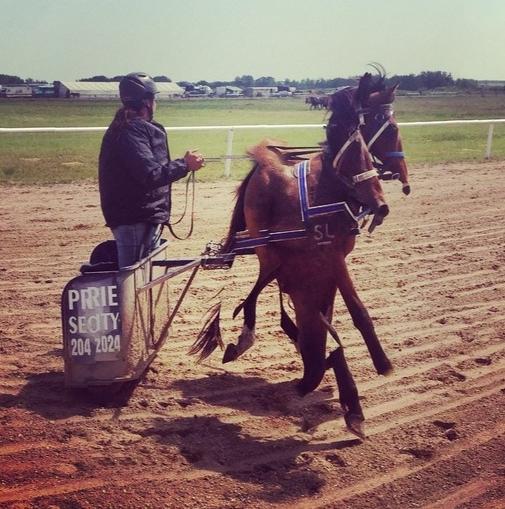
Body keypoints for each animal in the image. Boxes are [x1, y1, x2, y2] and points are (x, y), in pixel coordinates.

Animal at [191, 70, 408, 436]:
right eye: (389, 128)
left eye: (366, 143)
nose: (402, 181)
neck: (329, 191)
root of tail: (263, 163)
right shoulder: (326, 256)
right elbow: (353, 312)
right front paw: (374, 365)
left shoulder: (334, 257)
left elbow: (333, 314)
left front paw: (341, 384)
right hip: (266, 246)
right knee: (260, 288)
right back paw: (250, 335)